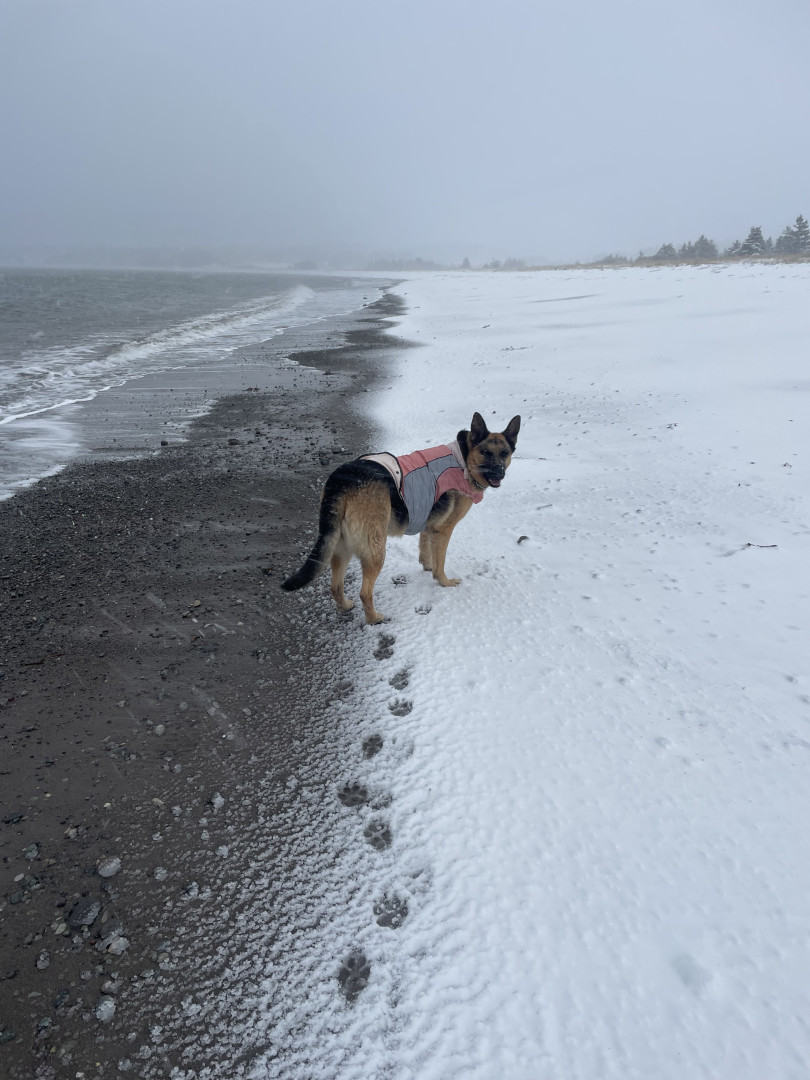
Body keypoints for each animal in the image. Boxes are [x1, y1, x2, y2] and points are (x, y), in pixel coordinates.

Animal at [281, 411, 520, 624]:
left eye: (504, 453)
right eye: (486, 452)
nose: (498, 473)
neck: (464, 458)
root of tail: (342, 480)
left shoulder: (428, 524)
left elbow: (425, 550)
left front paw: (427, 566)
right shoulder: (444, 530)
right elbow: (440, 562)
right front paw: (444, 582)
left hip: (340, 547)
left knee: (336, 586)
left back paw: (345, 606)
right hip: (375, 550)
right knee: (364, 592)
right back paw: (374, 619)